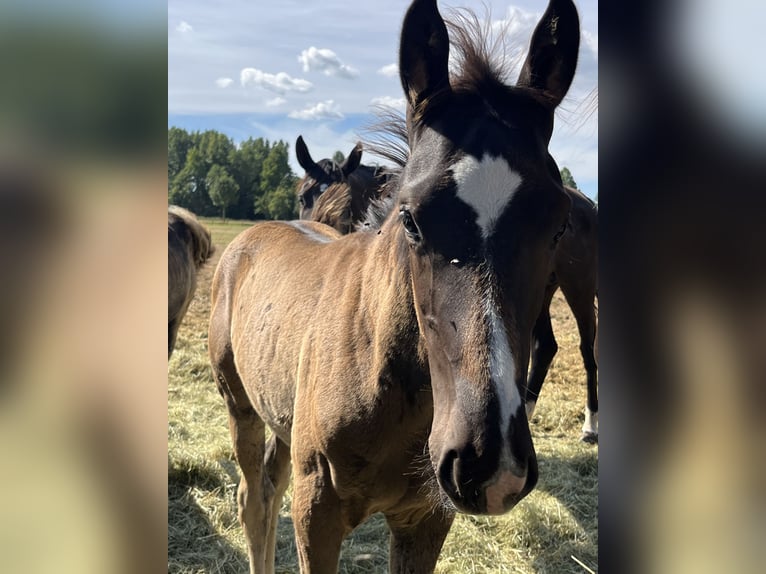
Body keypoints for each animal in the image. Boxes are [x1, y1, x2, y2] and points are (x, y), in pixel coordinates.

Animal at [208, 0, 580, 571]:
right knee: (254, 499)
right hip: (239, 402)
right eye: (410, 219)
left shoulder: (425, 519)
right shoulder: (317, 514)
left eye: (559, 225)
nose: (489, 462)